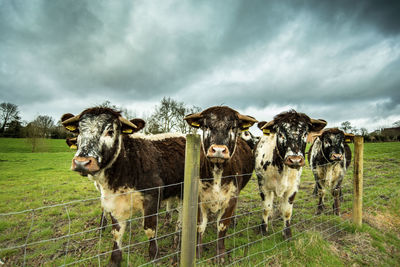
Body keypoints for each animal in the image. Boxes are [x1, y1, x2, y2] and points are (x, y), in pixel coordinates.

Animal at [61, 108, 186, 267]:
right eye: (78, 131)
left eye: (110, 131)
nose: (81, 163)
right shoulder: (112, 201)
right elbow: (117, 232)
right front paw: (114, 259)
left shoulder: (152, 198)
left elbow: (150, 229)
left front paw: (154, 255)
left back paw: (178, 235)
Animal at [184, 105, 256, 262]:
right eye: (206, 126)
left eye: (233, 127)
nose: (218, 150)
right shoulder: (198, 199)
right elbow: (199, 226)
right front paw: (197, 254)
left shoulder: (231, 198)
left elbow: (222, 226)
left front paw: (220, 255)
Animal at [255, 111, 326, 241]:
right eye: (280, 133)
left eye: (305, 133)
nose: (295, 160)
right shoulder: (263, 186)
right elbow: (266, 208)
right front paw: (263, 229)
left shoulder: (293, 188)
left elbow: (287, 211)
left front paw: (287, 234)